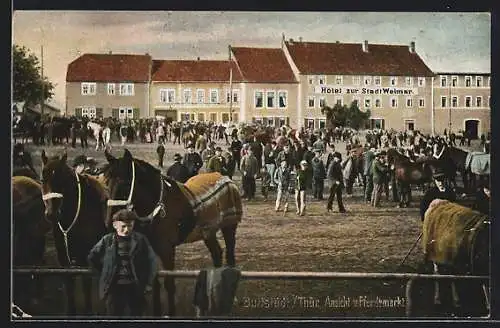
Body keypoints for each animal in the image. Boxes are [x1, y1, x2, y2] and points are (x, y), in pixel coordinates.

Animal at [40, 151, 108, 316]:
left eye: (62, 180)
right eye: (42, 179)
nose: (51, 214)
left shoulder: (85, 255)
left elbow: (86, 284)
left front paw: (89, 310)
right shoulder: (63, 257)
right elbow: (69, 283)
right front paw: (71, 310)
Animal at [101, 148, 242, 316]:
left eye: (126, 183)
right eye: (106, 182)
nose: (109, 222)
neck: (158, 207)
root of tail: (226, 178)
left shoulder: (167, 249)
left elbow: (169, 283)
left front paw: (171, 312)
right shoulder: (152, 249)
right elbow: (155, 282)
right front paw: (156, 311)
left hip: (229, 227)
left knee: (230, 255)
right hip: (208, 231)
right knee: (217, 253)